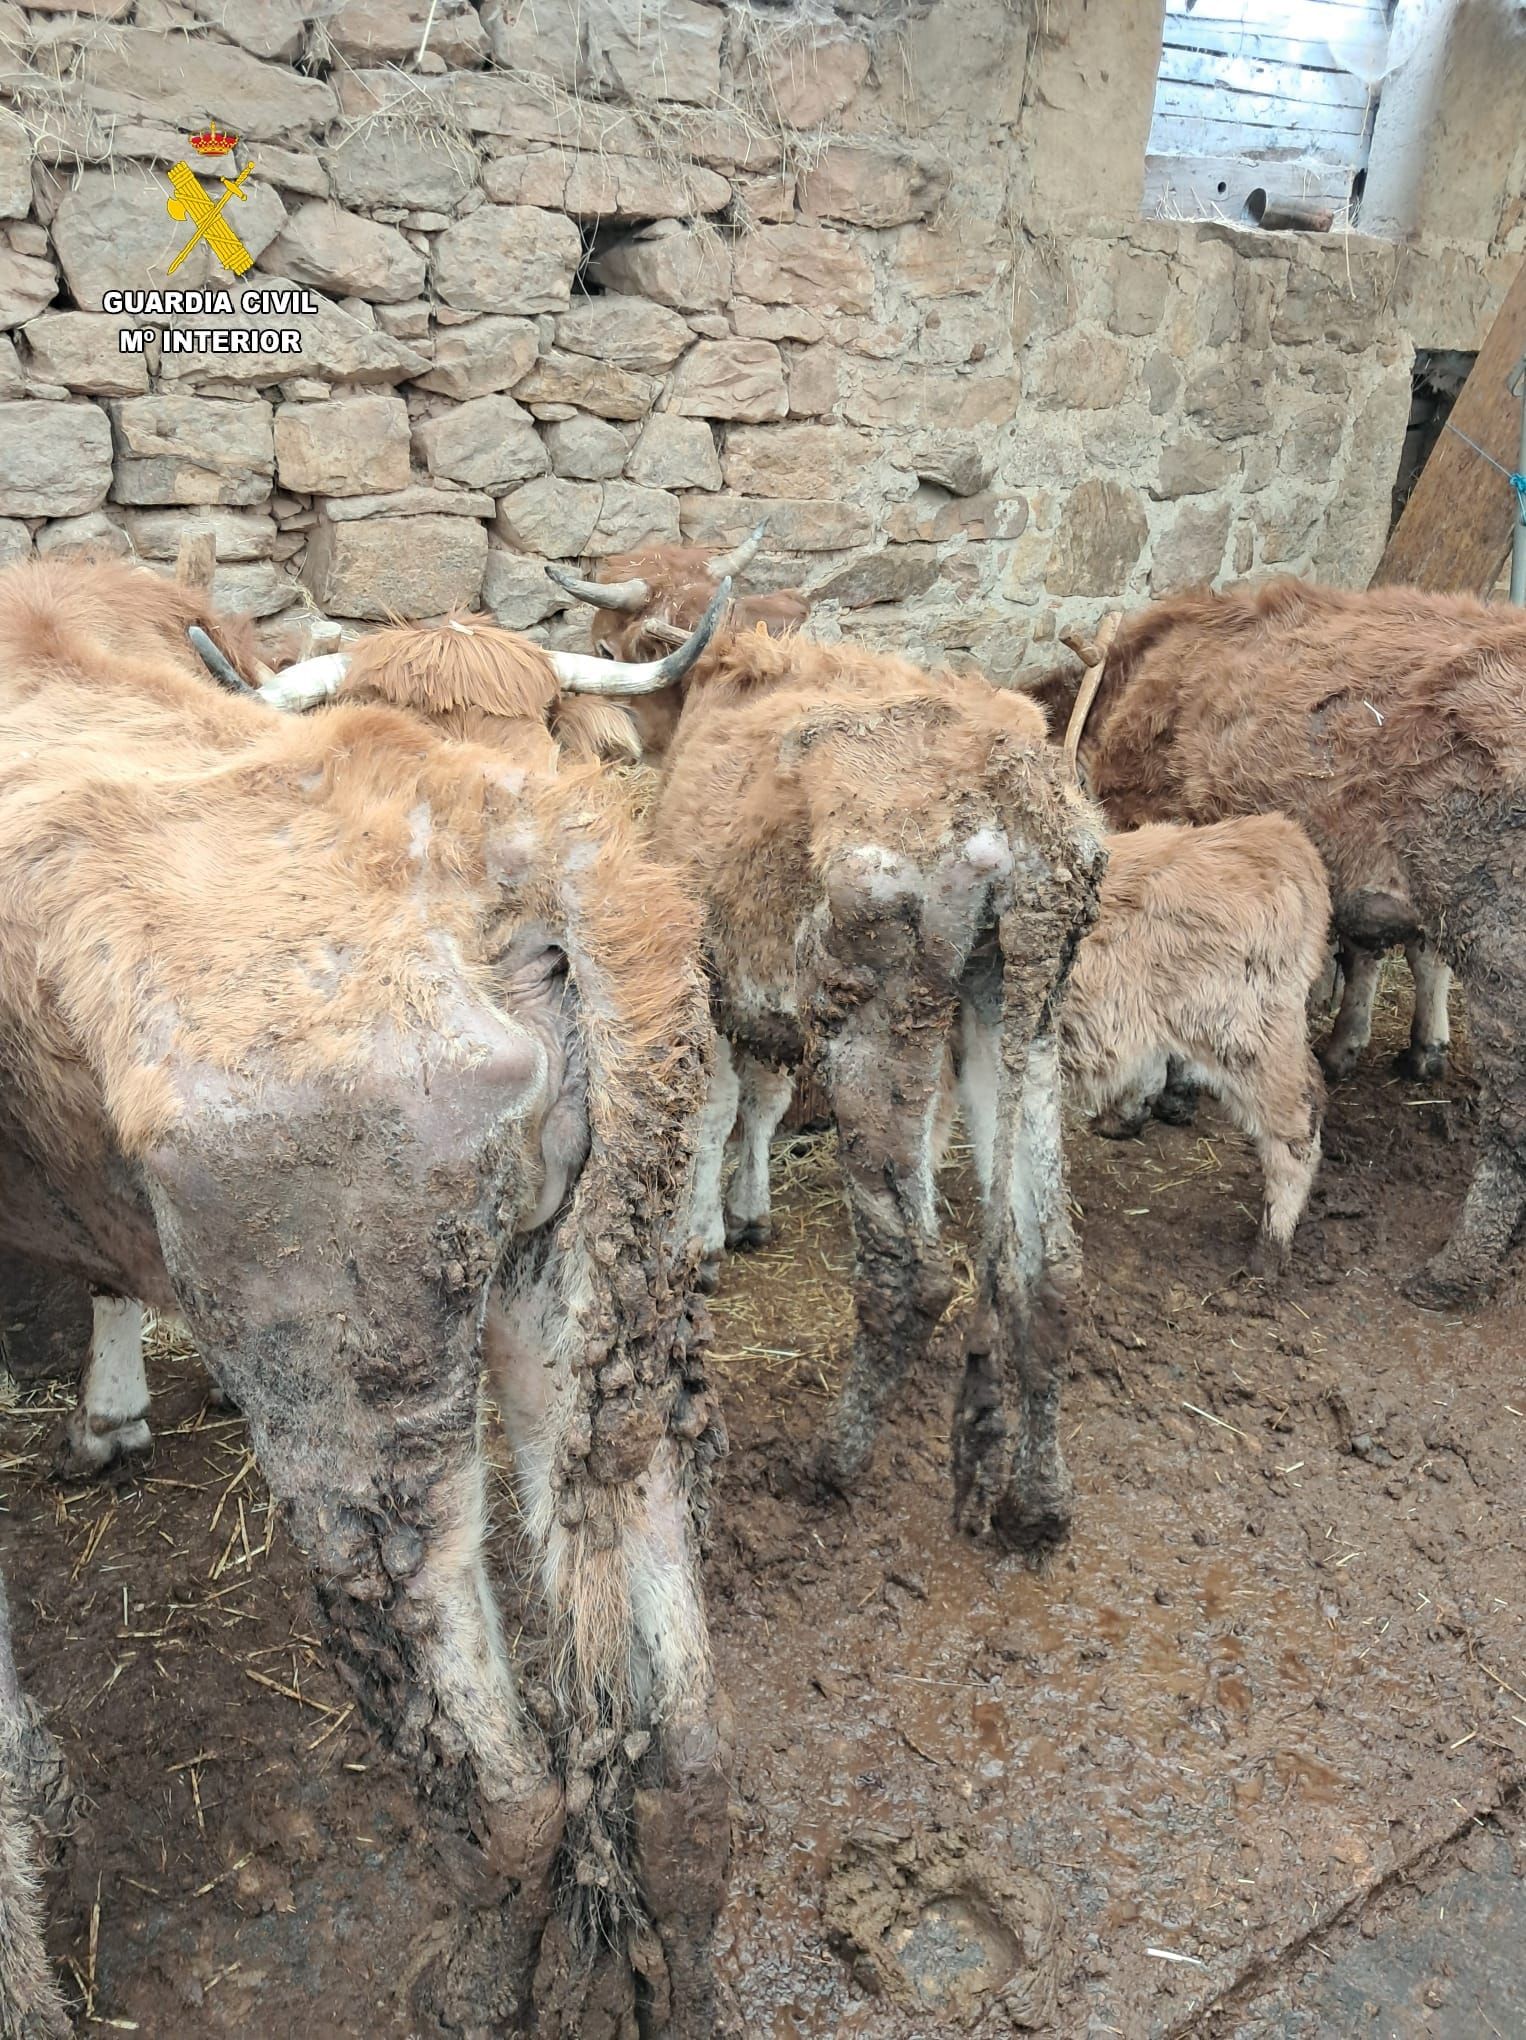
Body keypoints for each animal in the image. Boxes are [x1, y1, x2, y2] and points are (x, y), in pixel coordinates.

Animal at [0, 556, 733, 2030]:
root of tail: (524, 860)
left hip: (352, 1418)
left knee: (503, 1787)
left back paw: (464, 1983)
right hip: (603, 1308)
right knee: (673, 1719)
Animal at [1051, 577, 1526, 1306]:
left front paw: (1147, 1102)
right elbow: (1393, 951)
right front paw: (1398, 1047)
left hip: (1505, 954)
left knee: (1512, 1122)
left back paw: (1454, 1269)